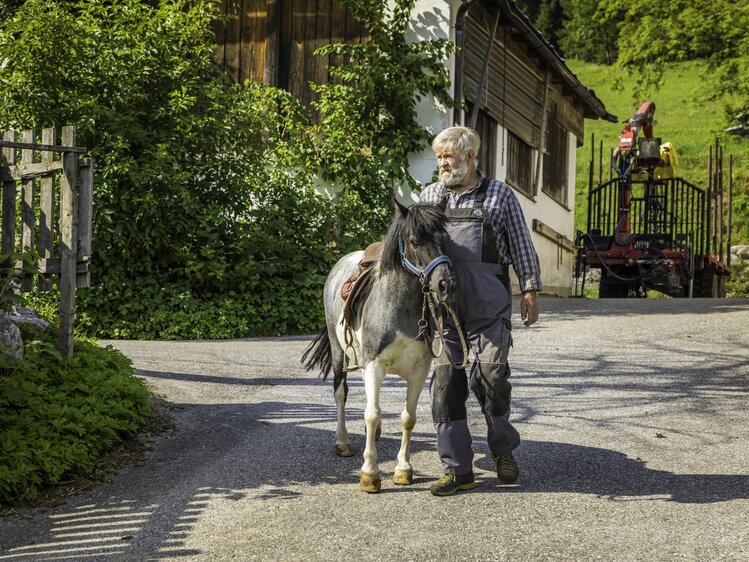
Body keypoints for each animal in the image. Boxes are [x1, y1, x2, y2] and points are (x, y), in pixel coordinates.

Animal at [300, 200, 452, 490]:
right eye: (414, 241)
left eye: (447, 240)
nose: (445, 284)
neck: (399, 308)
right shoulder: (375, 365)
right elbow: (371, 414)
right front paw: (369, 473)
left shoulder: (419, 370)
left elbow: (408, 417)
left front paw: (403, 469)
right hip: (338, 350)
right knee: (341, 393)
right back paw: (342, 442)